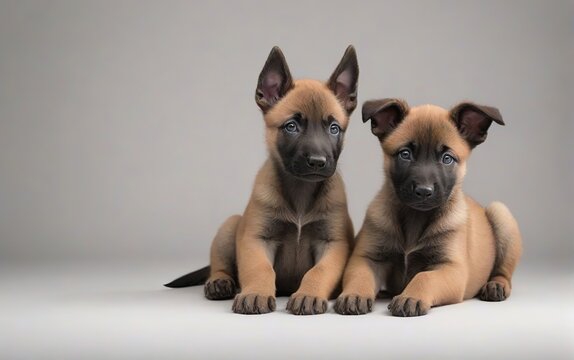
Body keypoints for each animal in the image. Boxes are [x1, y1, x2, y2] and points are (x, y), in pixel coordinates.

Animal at [164, 45, 360, 316]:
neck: (300, 191)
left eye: (334, 128)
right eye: (291, 126)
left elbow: (318, 271)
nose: (317, 162)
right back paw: (220, 281)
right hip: (230, 226)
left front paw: (309, 294)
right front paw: (256, 292)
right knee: (220, 265)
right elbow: (260, 268)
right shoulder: (256, 240)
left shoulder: (333, 244)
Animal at [336, 97, 524, 316]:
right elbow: (360, 275)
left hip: (500, 212)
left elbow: (424, 277)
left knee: (503, 271)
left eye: (447, 158)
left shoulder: (451, 269)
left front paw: (410, 297)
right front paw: (354, 294)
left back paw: (496, 285)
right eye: (405, 154)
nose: (424, 191)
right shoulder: (366, 258)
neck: (415, 218)